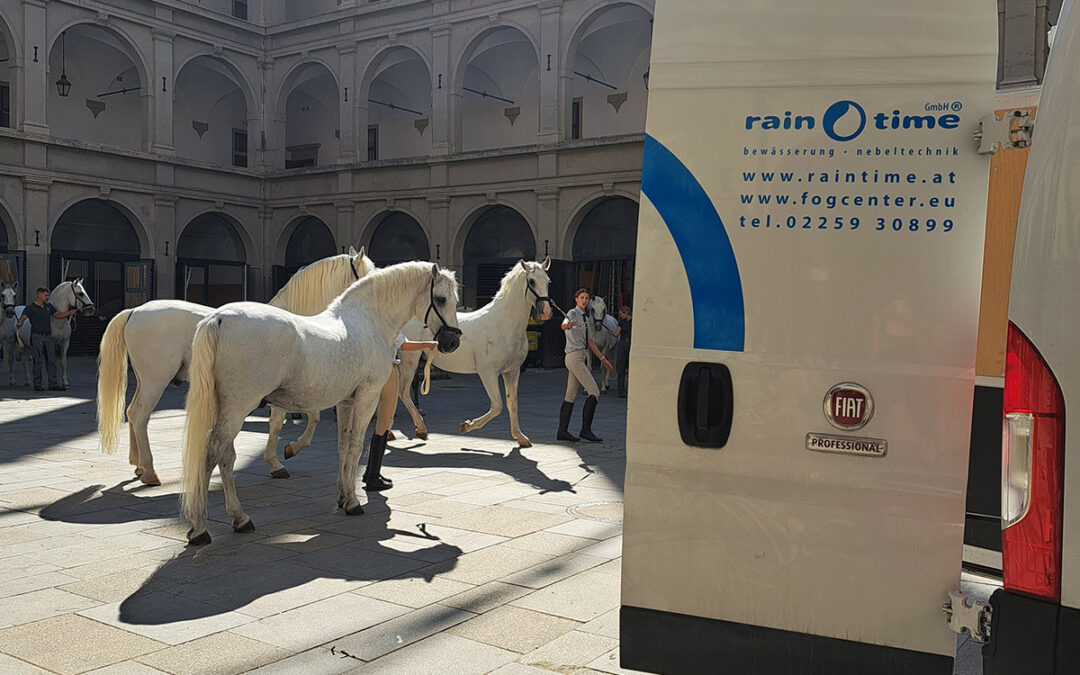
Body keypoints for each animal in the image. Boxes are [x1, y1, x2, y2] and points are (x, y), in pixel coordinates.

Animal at [98, 247, 375, 483]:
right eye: (367, 275)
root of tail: (135, 311)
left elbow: (295, 420)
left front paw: (278, 459)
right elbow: (295, 420)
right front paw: (286, 454)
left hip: (145, 379)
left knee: (132, 412)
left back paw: (137, 464)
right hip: (156, 380)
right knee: (140, 414)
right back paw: (150, 471)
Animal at [393, 258, 552, 447]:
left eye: (548, 281)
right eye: (532, 281)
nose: (546, 312)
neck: (503, 324)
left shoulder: (512, 371)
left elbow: (512, 403)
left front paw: (520, 437)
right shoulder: (488, 372)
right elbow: (497, 405)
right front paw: (466, 426)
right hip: (410, 360)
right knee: (403, 392)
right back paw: (420, 428)